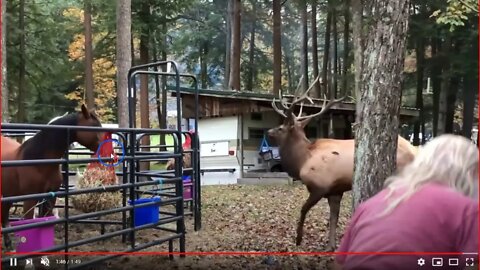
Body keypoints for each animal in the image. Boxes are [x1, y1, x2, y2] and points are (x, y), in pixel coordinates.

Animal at [1, 104, 103, 250]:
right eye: (94, 127)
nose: (108, 149)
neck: (39, 160)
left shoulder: (50, 197)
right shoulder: (30, 199)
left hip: (9, 194)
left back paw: (8, 244)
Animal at [268, 76, 418, 251]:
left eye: (280, 128)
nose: (268, 131)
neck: (301, 161)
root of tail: (416, 151)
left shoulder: (320, 186)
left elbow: (303, 209)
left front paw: (298, 239)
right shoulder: (335, 191)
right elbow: (333, 218)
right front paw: (331, 246)